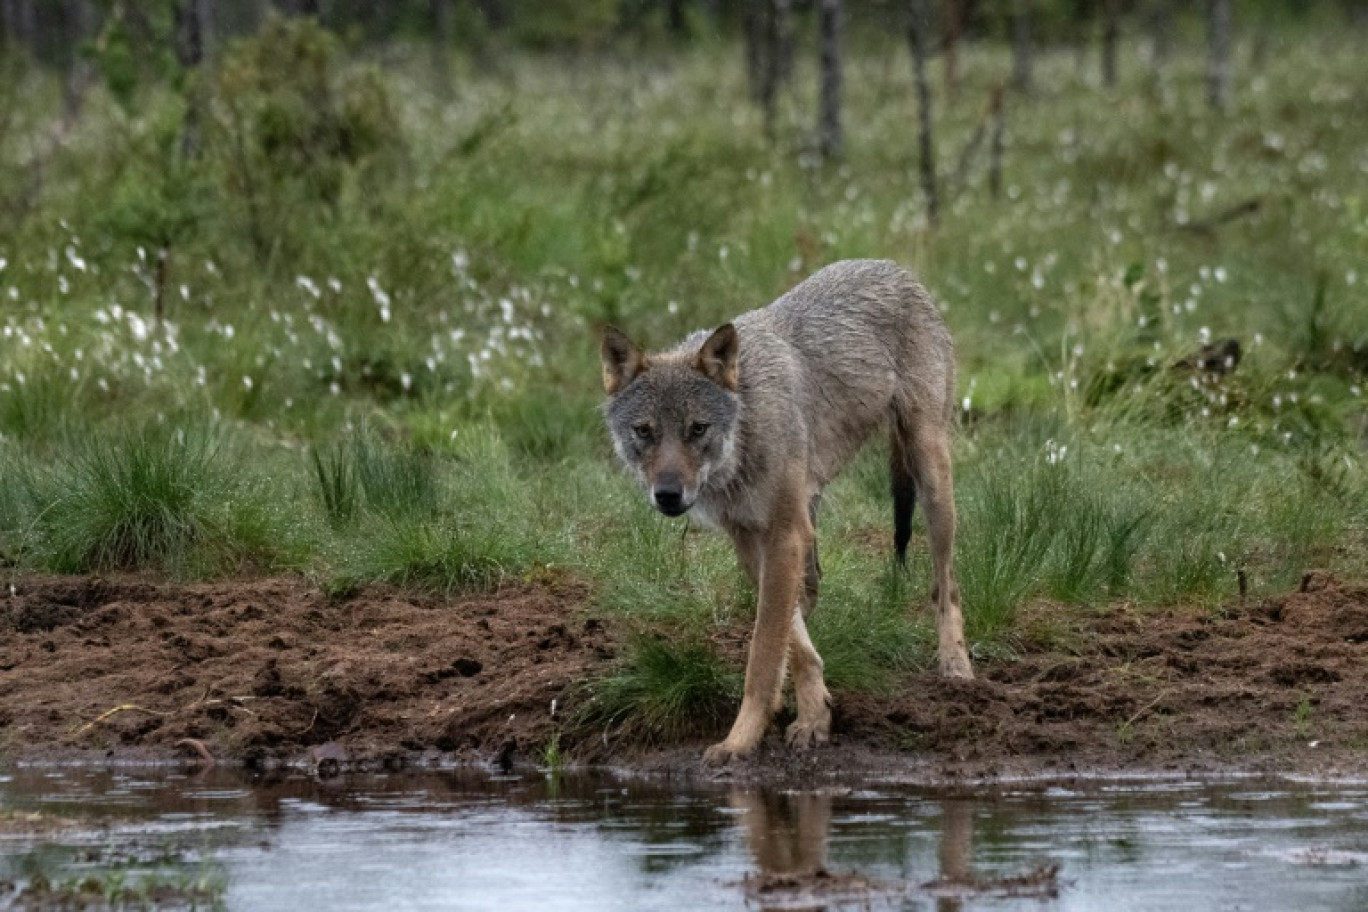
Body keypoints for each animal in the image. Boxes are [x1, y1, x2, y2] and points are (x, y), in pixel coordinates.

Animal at [601, 257, 974, 765]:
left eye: (698, 429)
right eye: (645, 431)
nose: (669, 494)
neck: (745, 432)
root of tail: (894, 267)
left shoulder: (783, 533)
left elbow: (763, 654)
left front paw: (740, 740)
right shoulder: (751, 538)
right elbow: (789, 641)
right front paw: (814, 714)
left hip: (931, 474)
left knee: (945, 583)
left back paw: (956, 665)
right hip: (814, 515)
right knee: (814, 590)